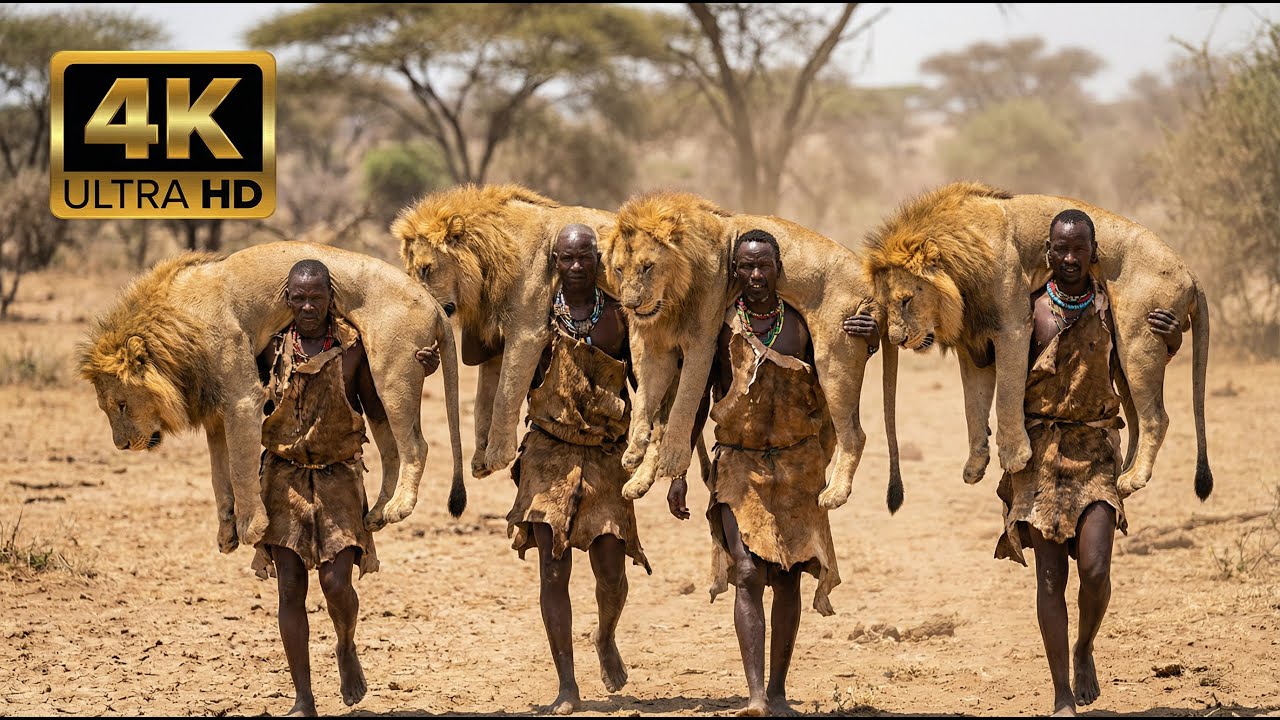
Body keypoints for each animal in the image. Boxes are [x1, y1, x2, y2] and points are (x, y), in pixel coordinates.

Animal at [78, 242, 465, 555]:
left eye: (122, 404)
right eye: (105, 408)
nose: (121, 445)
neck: (178, 326)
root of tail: (433, 302)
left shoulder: (242, 399)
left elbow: (239, 468)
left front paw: (252, 526)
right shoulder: (215, 411)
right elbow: (219, 476)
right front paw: (226, 534)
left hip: (393, 374)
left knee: (415, 444)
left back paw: (400, 506)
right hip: (374, 387)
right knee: (390, 450)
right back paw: (378, 513)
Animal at [391, 184, 619, 479]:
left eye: (426, 269)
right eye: (410, 272)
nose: (419, 305)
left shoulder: (527, 332)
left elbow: (504, 396)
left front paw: (498, 455)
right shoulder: (494, 337)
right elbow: (483, 400)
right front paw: (480, 460)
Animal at [603, 190, 903, 513]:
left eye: (647, 267)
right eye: (619, 270)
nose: (631, 305)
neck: (672, 298)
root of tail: (874, 281)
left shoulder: (701, 340)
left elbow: (684, 404)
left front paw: (672, 460)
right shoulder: (656, 346)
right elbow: (645, 402)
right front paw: (634, 451)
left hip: (835, 357)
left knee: (853, 434)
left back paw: (835, 492)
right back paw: (637, 481)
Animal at [863, 181, 1212, 500]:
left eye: (906, 300)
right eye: (885, 305)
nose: (897, 339)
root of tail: (1189, 271)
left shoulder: (1013, 326)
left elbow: (1006, 397)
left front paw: (1015, 455)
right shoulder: (973, 344)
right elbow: (972, 405)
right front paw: (975, 464)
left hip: (1138, 340)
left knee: (1156, 417)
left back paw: (1134, 477)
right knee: (1137, 419)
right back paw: (1122, 473)